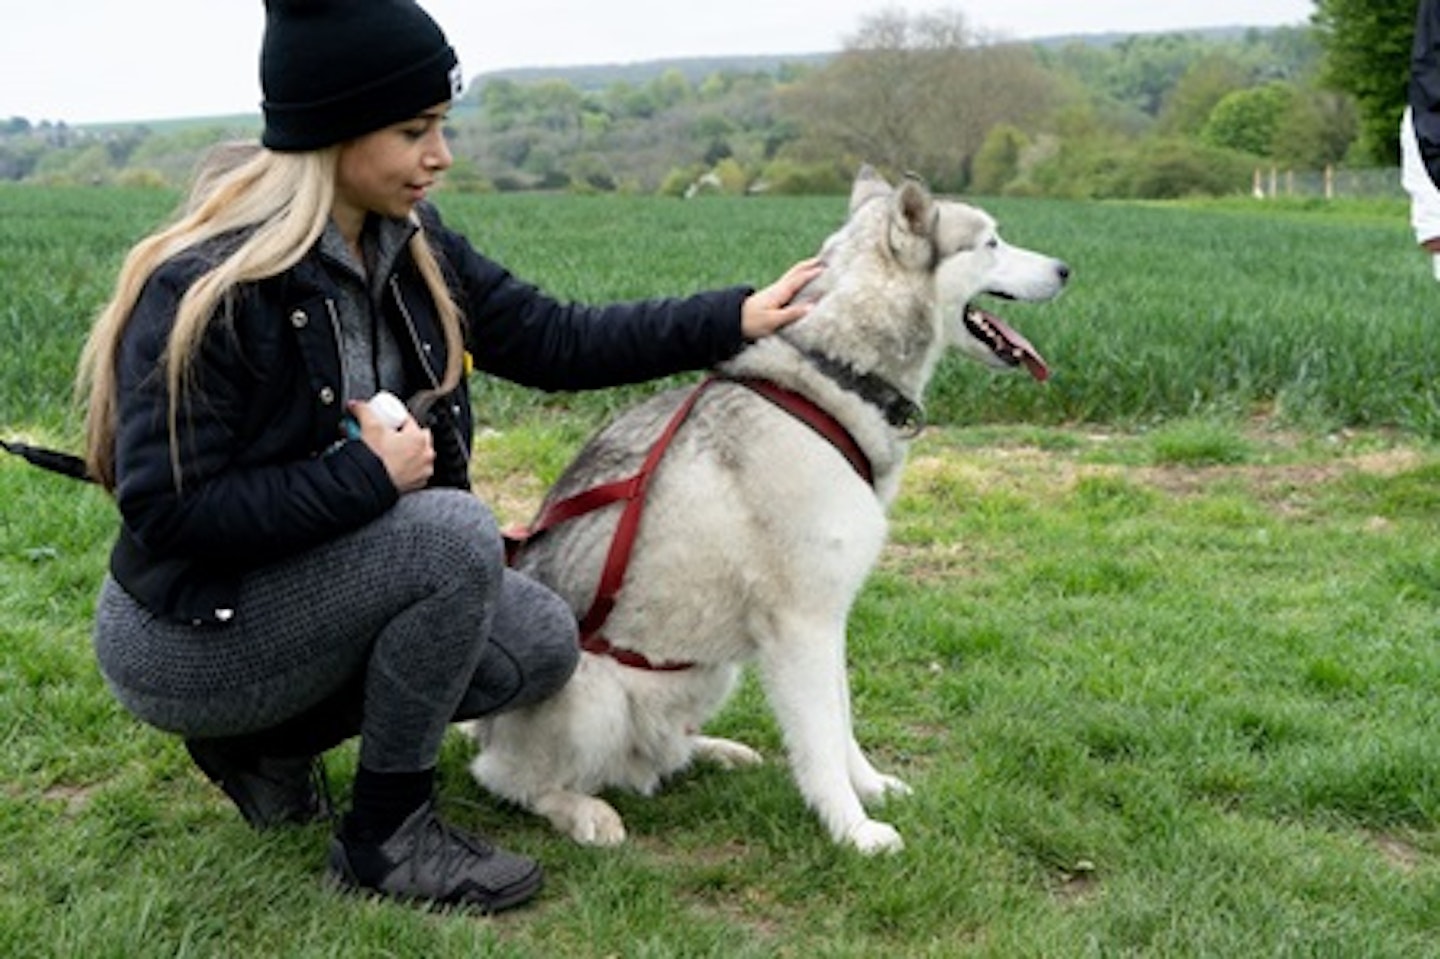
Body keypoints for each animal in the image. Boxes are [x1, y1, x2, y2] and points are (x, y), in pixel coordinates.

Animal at [466, 166, 1065, 852]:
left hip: (710, 673)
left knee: (652, 754)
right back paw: (584, 811)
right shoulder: (802, 624)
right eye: (992, 242)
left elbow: (842, 720)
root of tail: (481, 727)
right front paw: (852, 830)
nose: (1067, 268)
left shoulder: (830, 617)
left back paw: (710, 751)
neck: (835, 373)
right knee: (510, 778)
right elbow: (821, 740)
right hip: (591, 698)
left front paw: (871, 788)